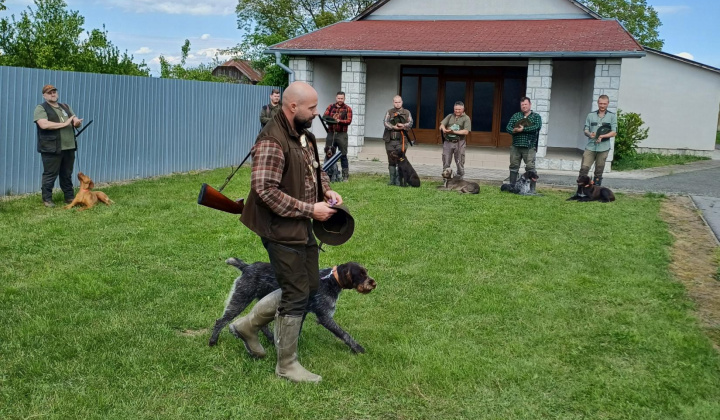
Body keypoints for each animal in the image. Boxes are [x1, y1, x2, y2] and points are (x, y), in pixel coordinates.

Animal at [208, 258, 376, 352]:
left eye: (366, 272)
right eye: (360, 274)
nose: (373, 283)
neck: (329, 280)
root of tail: (246, 266)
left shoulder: (302, 311)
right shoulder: (325, 317)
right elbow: (344, 334)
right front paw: (357, 348)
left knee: (262, 325)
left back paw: (271, 338)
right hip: (240, 300)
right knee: (220, 321)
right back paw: (213, 341)